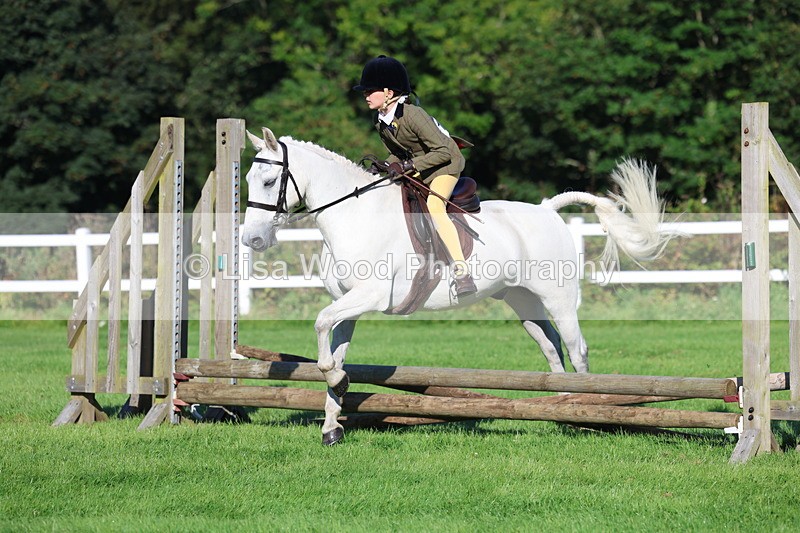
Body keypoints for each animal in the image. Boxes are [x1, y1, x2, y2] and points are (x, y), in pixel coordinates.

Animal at [241, 127, 679, 445]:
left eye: (269, 180)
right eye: (246, 179)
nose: (252, 240)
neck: (353, 216)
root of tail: (546, 209)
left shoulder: (370, 296)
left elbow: (320, 325)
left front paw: (336, 386)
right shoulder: (349, 304)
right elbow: (333, 350)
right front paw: (333, 422)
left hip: (559, 298)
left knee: (577, 350)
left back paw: (587, 413)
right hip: (523, 302)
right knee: (551, 349)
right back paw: (560, 408)